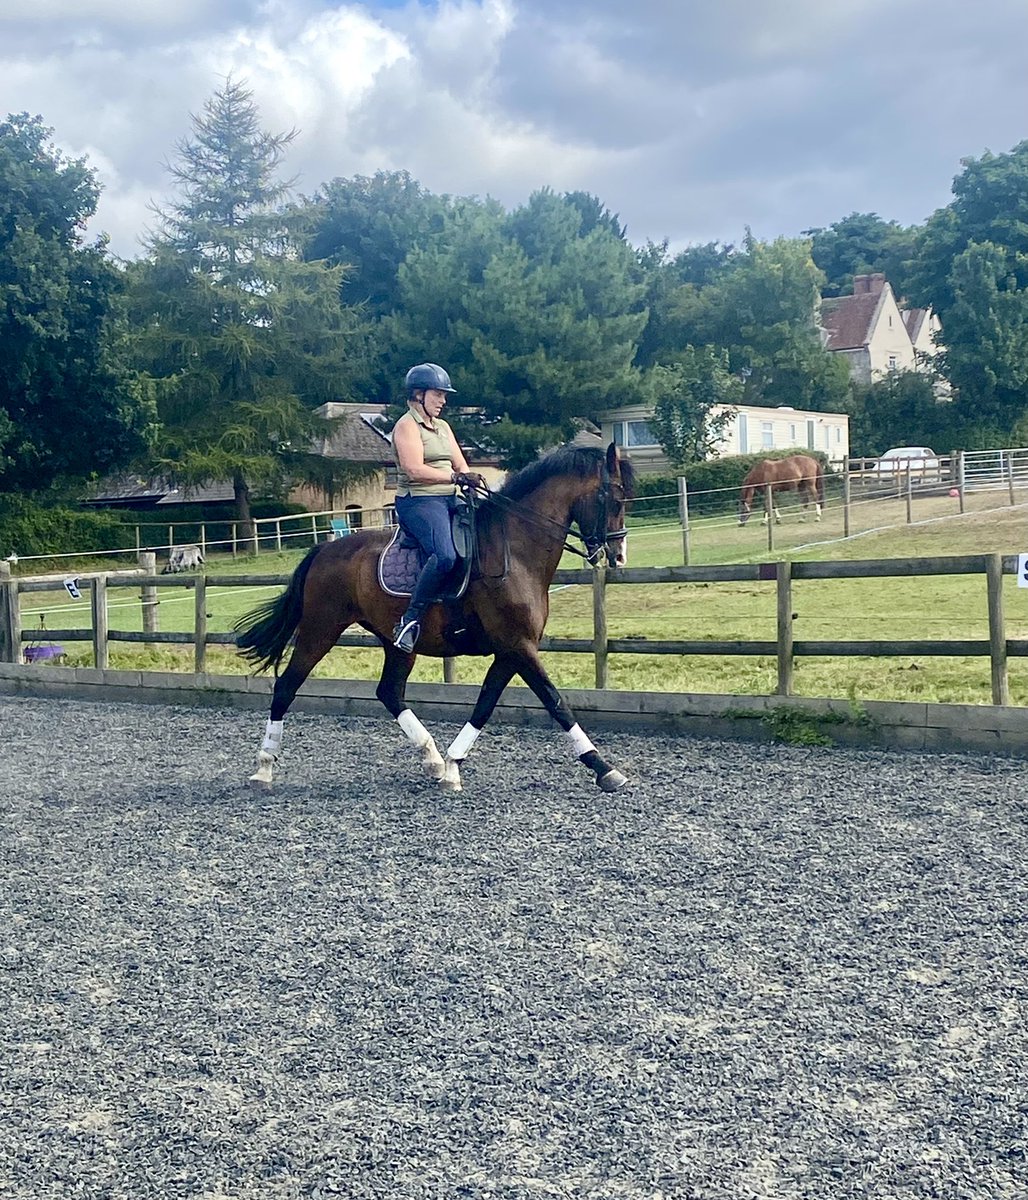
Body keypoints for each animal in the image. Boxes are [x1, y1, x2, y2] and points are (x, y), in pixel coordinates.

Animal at [234, 442, 634, 794]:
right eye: (615, 500)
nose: (618, 555)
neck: (515, 551)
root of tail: (323, 549)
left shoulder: (511, 650)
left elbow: (485, 704)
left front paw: (453, 766)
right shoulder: (518, 645)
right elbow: (555, 702)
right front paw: (604, 768)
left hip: (396, 643)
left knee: (389, 692)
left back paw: (433, 759)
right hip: (320, 630)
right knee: (286, 687)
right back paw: (263, 770)